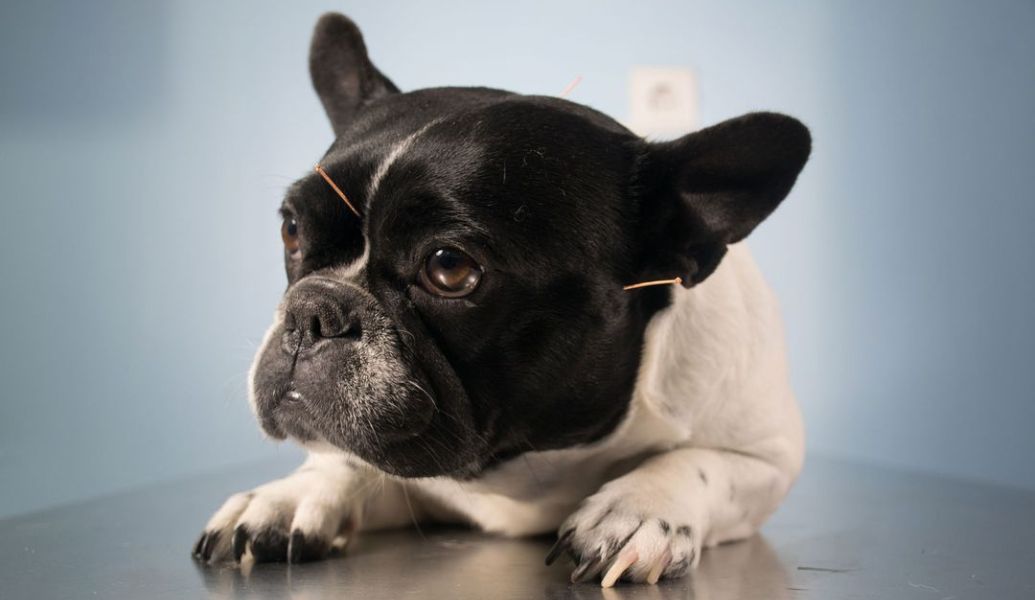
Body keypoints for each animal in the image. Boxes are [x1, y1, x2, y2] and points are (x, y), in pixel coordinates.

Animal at [192, 12, 807, 587]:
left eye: (449, 267)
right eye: (291, 230)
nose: (312, 310)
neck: (525, 467)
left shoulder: (771, 461)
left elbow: (700, 462)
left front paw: (638, 508)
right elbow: (351, 459)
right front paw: (289, 495)